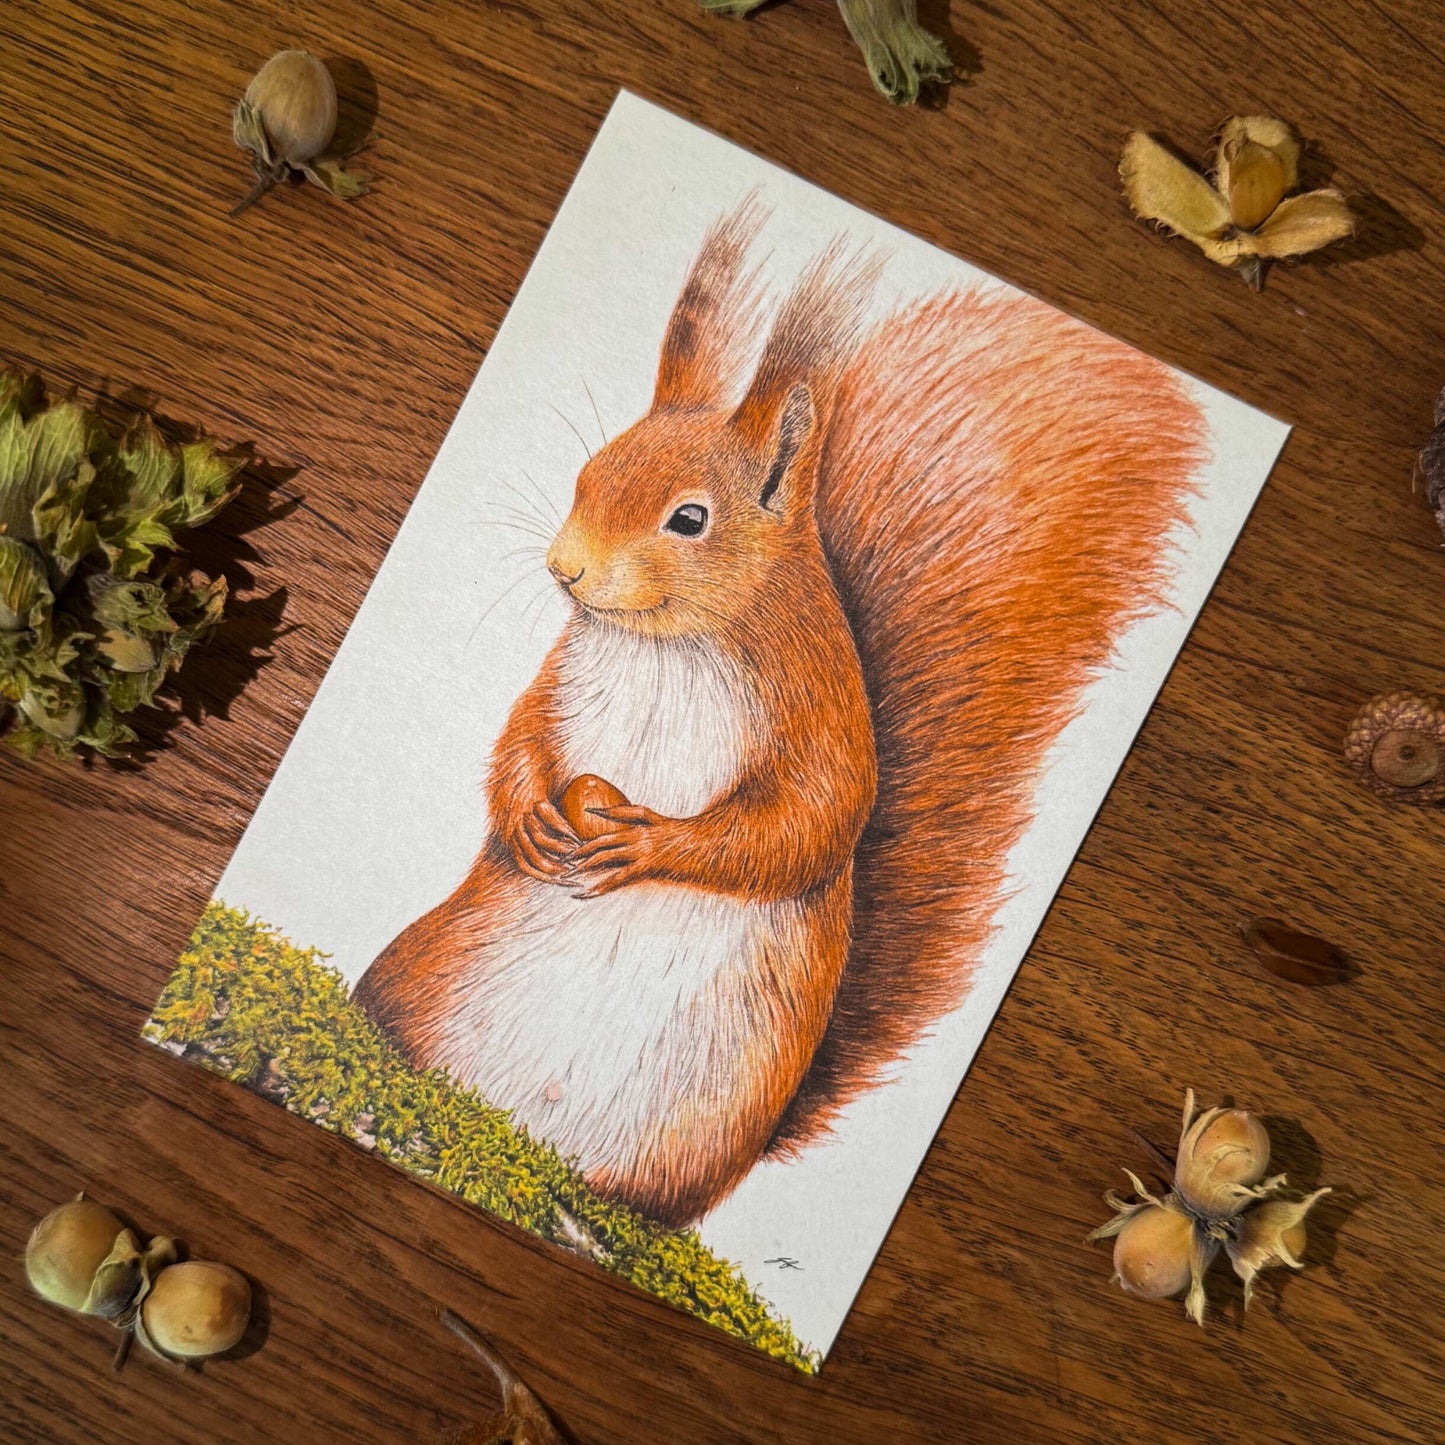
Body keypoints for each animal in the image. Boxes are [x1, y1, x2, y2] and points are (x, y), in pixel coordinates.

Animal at [353, 203, 1206, 1229]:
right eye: (590, 470)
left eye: (688, 518)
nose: (564, 567)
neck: (668, 647)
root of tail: (522, 1132)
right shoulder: (560, 678)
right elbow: (520, 738)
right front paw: (529, 816)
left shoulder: (820, 715)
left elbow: (807, 820)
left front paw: (651, 844)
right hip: (423, 972)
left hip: (699, 1127)